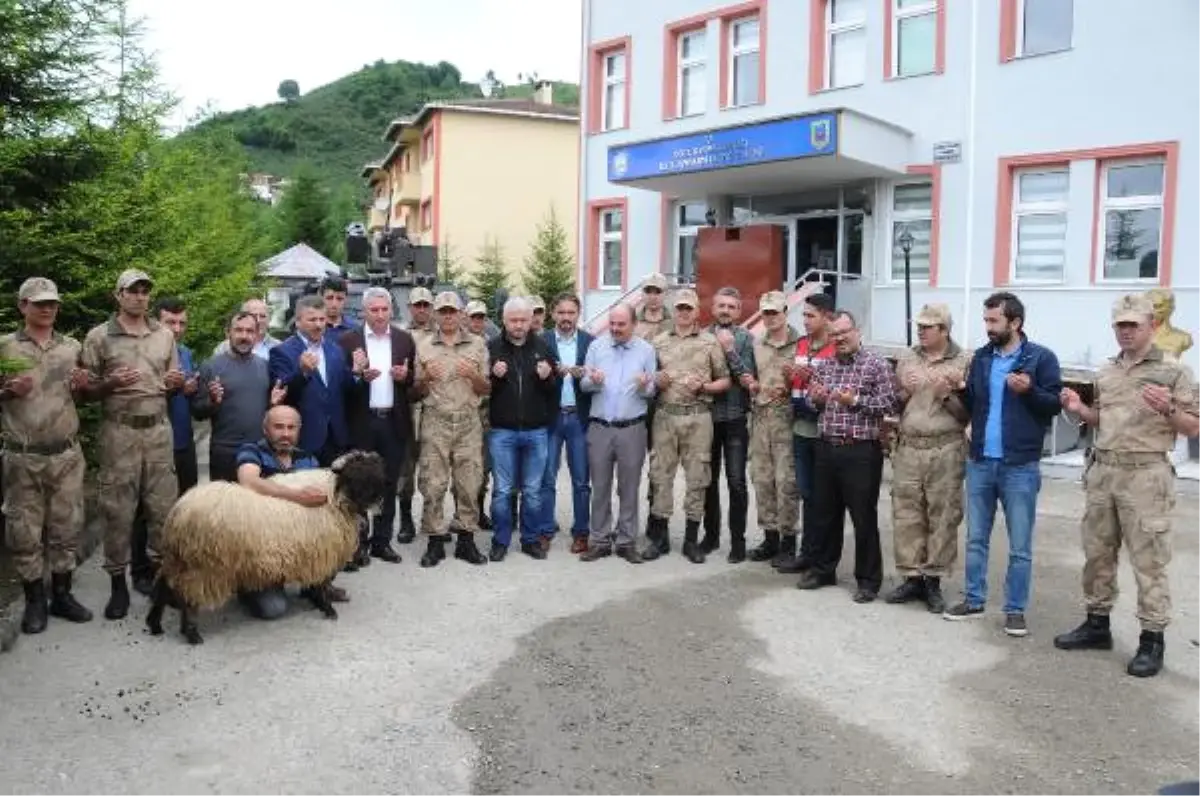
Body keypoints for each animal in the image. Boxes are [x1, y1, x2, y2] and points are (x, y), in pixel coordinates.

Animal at [143, 451, 388, 643]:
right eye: (355, 476)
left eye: (374, 476)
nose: (377, 503)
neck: (334, 494)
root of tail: (178, 511)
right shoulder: (321, 551)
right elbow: (321, 583)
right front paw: (327, 608)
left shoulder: (313, 553)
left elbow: (321, 583)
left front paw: (320, 599)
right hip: (201, 567)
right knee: (187, 598)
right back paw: (191, 633)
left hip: (181, 561)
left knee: (163, 586)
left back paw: (155, 623)